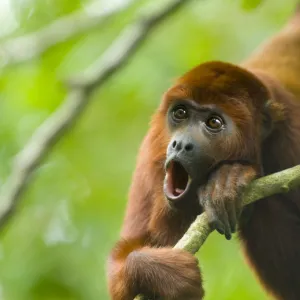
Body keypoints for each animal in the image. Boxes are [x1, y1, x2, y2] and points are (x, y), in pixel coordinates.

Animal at [108, 4, 300, 300]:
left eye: (214, 123)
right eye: (180, 113)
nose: (180, 144)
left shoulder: (290, 134)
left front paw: (228, 178)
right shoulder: (151, 155)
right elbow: (128, 253)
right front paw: (164, 274)